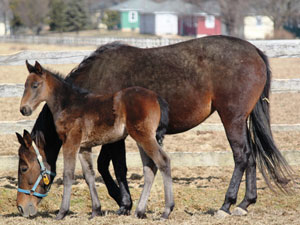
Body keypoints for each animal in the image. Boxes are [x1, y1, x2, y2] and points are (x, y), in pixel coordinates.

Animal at [16, 35, 292, 218]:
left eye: (23, 167)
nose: (20, 207)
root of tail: (254, 50)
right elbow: (108, 167)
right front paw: (122, 203)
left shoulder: (113, 138)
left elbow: (113, 167)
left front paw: (124, 202)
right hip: (242, 119)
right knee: (252, 156)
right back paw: (245, 203)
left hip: (231, 117)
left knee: (241, 155)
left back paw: (226, 204)